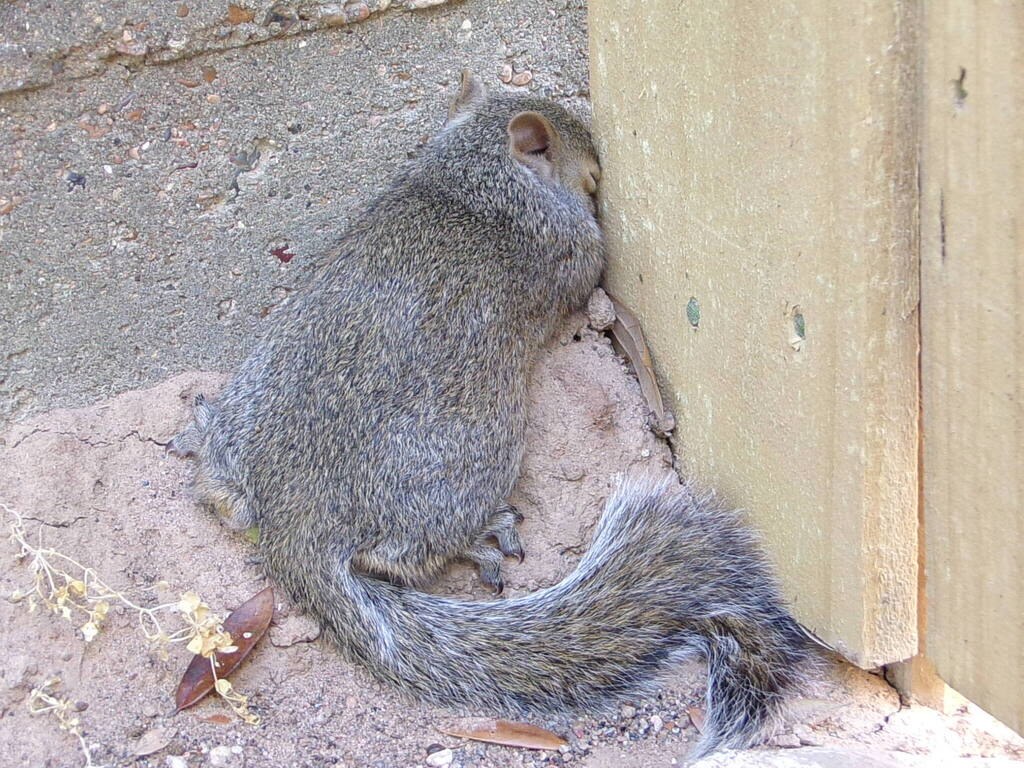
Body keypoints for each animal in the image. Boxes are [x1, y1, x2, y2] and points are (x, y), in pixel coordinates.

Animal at [170, 71, 817, 759]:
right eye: (587, 171)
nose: (597, 179)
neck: (470, 177)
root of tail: (299, 524)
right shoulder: (570, 248)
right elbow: (587, 267)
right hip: (464, 468)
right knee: (400, 555)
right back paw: (481, 537)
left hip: (245, 423)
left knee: (226, 498)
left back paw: (199, 438)